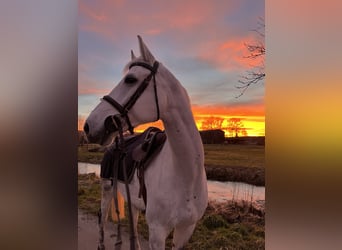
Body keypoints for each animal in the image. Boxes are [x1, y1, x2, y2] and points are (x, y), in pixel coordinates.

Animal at [85, 35, 208, 250]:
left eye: (130, 79)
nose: (89, 125)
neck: (186, 176)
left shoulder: (185, 230)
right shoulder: (157, 232)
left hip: (132, 201)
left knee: (132, 228)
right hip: (107, 190)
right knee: (102, 218)